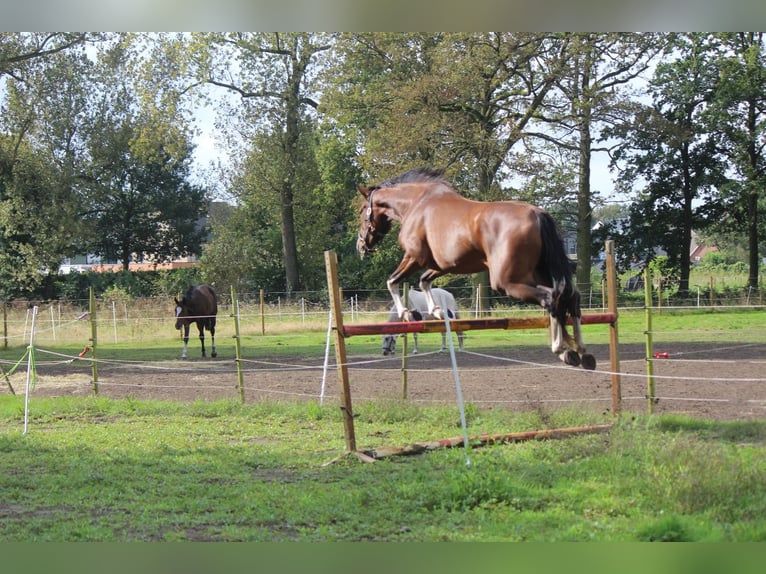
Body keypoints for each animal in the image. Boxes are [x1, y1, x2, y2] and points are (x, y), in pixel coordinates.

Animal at [356, 169, 596, 372]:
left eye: (361, 212)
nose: (361, 246)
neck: (415, 204)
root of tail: (539, 215)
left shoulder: (415, 257)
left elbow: (392, 281)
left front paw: (407, 313)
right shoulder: (443, 265)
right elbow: (424, 281)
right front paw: (437, 311)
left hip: (508, 282)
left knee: (551, 298)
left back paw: (562, 350)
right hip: (538, 273)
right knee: (571, 297)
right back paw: (582, 352)